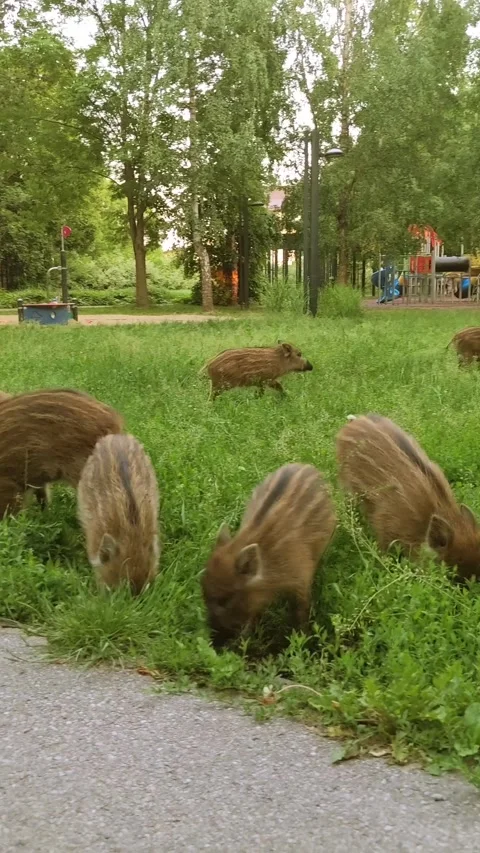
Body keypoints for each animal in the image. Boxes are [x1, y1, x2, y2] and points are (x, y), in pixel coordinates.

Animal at [201, 463, 337, 646]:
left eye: (225, 599)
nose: (214, 642)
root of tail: (307, 466)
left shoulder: (301, 580)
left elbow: (301, 611)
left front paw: (302, 640)